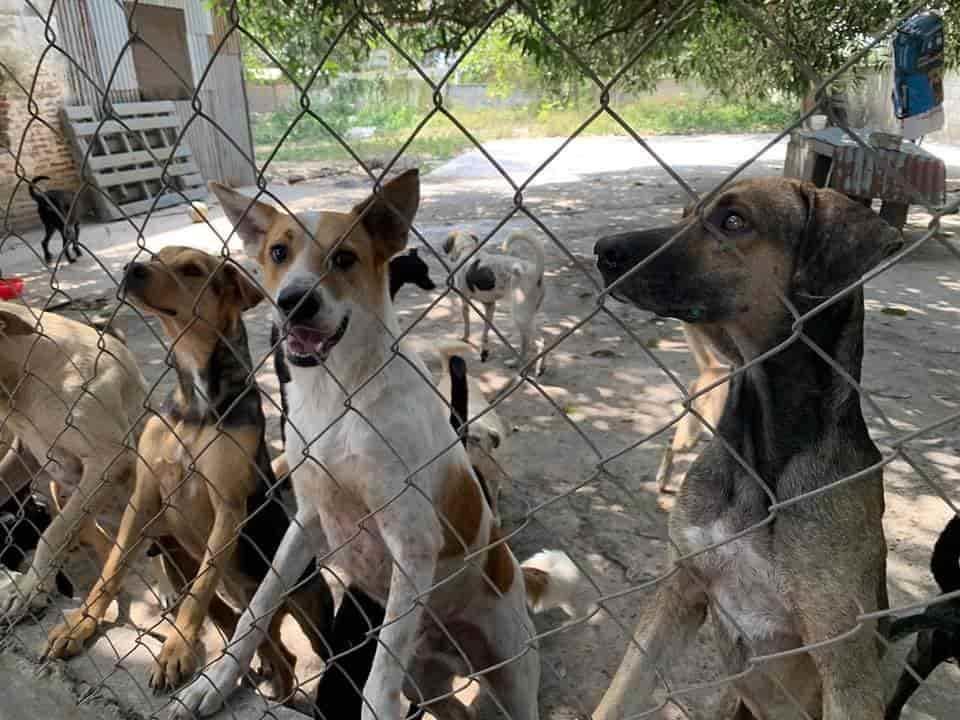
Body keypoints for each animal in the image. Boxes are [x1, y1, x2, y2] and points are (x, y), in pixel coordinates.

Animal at [46, 248, 338, 696]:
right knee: (274, 653)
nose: (131, 268)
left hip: (312, 613)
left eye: (191, 270)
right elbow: (112, 568)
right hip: (212, 586)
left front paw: (176, 652)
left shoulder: (228, 506)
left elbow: (202, 586)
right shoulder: (144, 496)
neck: (196, 401)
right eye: (154, 257)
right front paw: (80, 624)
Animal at [440, 231, 544, 376]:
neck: (467, 249)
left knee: (538, 342)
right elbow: (486, 329)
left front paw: (465, 338)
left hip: (521, 316)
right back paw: (521, 364)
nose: (451, 258)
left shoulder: (465, 302)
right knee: (530, 342)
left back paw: (533, 367)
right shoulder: (490, 305)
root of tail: (537, 272)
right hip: (527, 317)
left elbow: (467, 325)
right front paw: (484, 349)